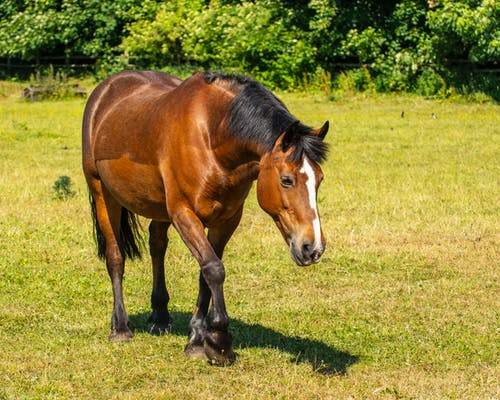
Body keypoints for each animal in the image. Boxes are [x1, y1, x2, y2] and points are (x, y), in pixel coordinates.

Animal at [82, 70, 328, 364]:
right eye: (287, 180)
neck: (212, 137)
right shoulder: (184, 214)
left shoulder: (227, 219)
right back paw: (120, 326)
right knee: (115, 256)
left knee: (157, 246)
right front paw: (219, 340)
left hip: (158, 207)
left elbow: (206, 272)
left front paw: (198, 338)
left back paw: (160, 316)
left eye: (319, 179)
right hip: (102, 192)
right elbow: (213, 268)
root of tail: (105, 90)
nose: (313, 247)